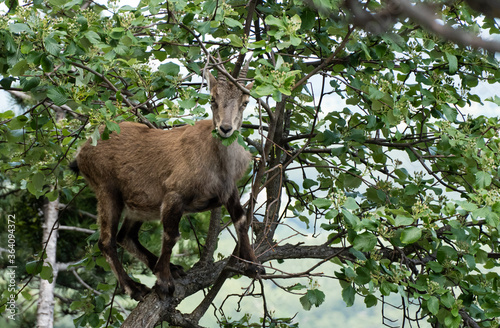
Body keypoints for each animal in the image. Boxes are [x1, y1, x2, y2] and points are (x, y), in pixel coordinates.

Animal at [73, 71, 266, 300]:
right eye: (213, 99)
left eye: (245, 102)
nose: (225, 129)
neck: (217, 160)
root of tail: (82, 151)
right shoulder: (174, 195)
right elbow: (170, 235)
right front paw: (164, 284)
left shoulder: (230, 191)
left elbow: (241, 221)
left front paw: (253, 265)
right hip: (107, 191)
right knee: (107, 242)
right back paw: (136, 287)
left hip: (141, 204)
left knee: (125, 236)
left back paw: (168, 268)